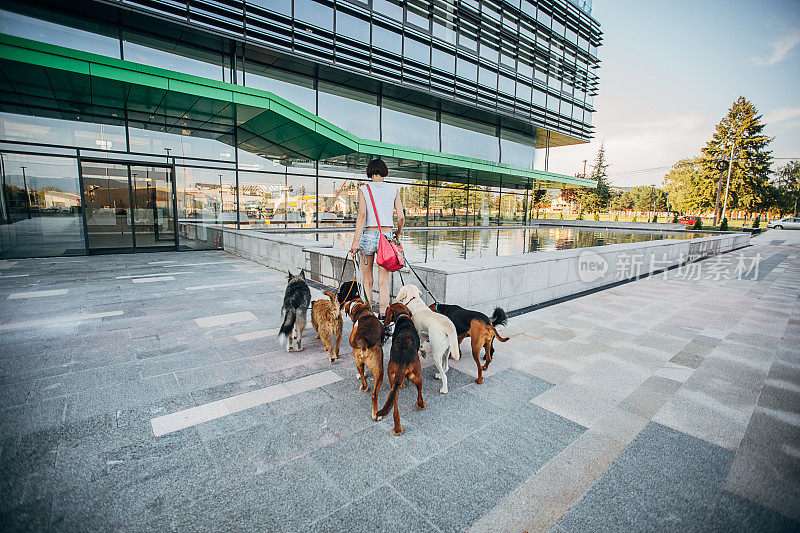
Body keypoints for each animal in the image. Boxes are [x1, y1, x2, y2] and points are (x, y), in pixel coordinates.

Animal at [380, 302, 428, 434]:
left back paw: (397, 428)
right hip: (418, 376)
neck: (403, 317)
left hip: (393, 382)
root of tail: (402, 358)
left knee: (395, 409)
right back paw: (421, 405)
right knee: (419, 394)